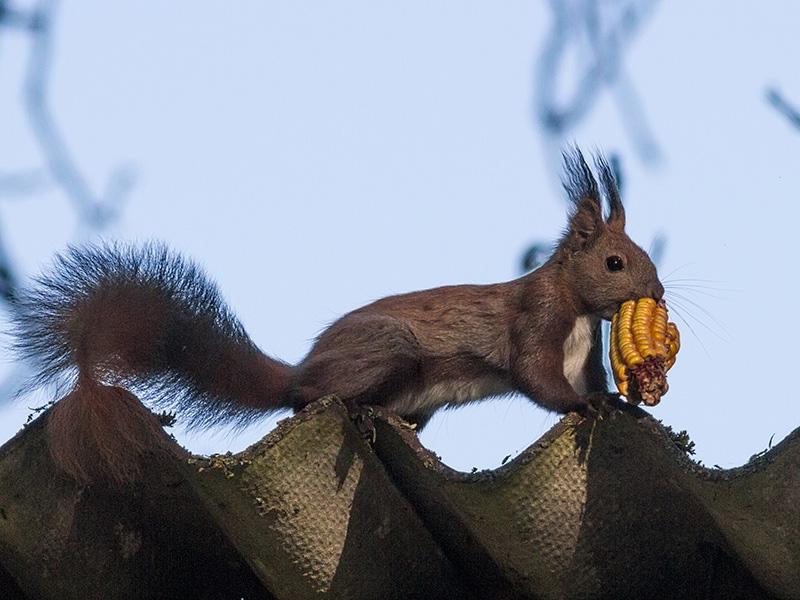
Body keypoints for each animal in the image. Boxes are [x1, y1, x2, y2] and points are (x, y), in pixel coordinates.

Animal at [12, 150, 664, 482]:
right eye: (614, 262)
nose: (658, 292)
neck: (579, 311)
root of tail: (304, 369)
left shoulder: (584, 355)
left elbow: (585, 380)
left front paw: (621, 402)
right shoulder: (534, 322)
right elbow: (536, 377)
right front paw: (589, 406)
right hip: (387, 351)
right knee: (313, 398)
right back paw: (356, 411)